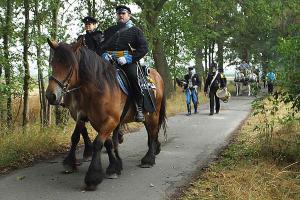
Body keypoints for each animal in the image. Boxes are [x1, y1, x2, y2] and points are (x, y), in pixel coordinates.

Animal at [46, 39, 166, 191]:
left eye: (69, 65)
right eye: (53, 63)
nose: (51, 95)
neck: (99, 87)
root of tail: (157, 75)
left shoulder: (110, 120)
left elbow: (98, 143)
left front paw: (93, 177)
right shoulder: (89, 118)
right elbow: (98, 141)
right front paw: (114, 166)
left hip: (153, 113)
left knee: (153, 132)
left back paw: (149, 159)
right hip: (147, 116)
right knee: (150, 132)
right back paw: (154, 150)